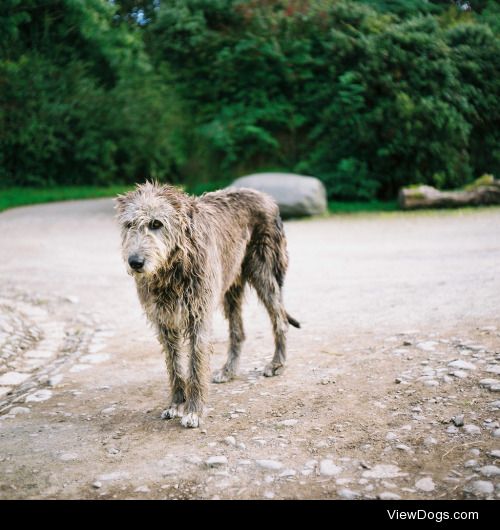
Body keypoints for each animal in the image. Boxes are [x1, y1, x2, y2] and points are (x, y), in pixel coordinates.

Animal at [115, 180, 298, 424]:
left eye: (156, 223)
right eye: (129, 225)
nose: (135, 262)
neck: (174, 267)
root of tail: (266, 196)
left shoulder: (198, 314)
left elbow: (196, 364)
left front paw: (193, 410)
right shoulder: (164, 321)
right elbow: (174, 365)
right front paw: (176, 404)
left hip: (264, 273)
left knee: (280, 320)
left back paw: (277, 364)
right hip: (231, 286)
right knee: (238, 332)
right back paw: (228, 370)